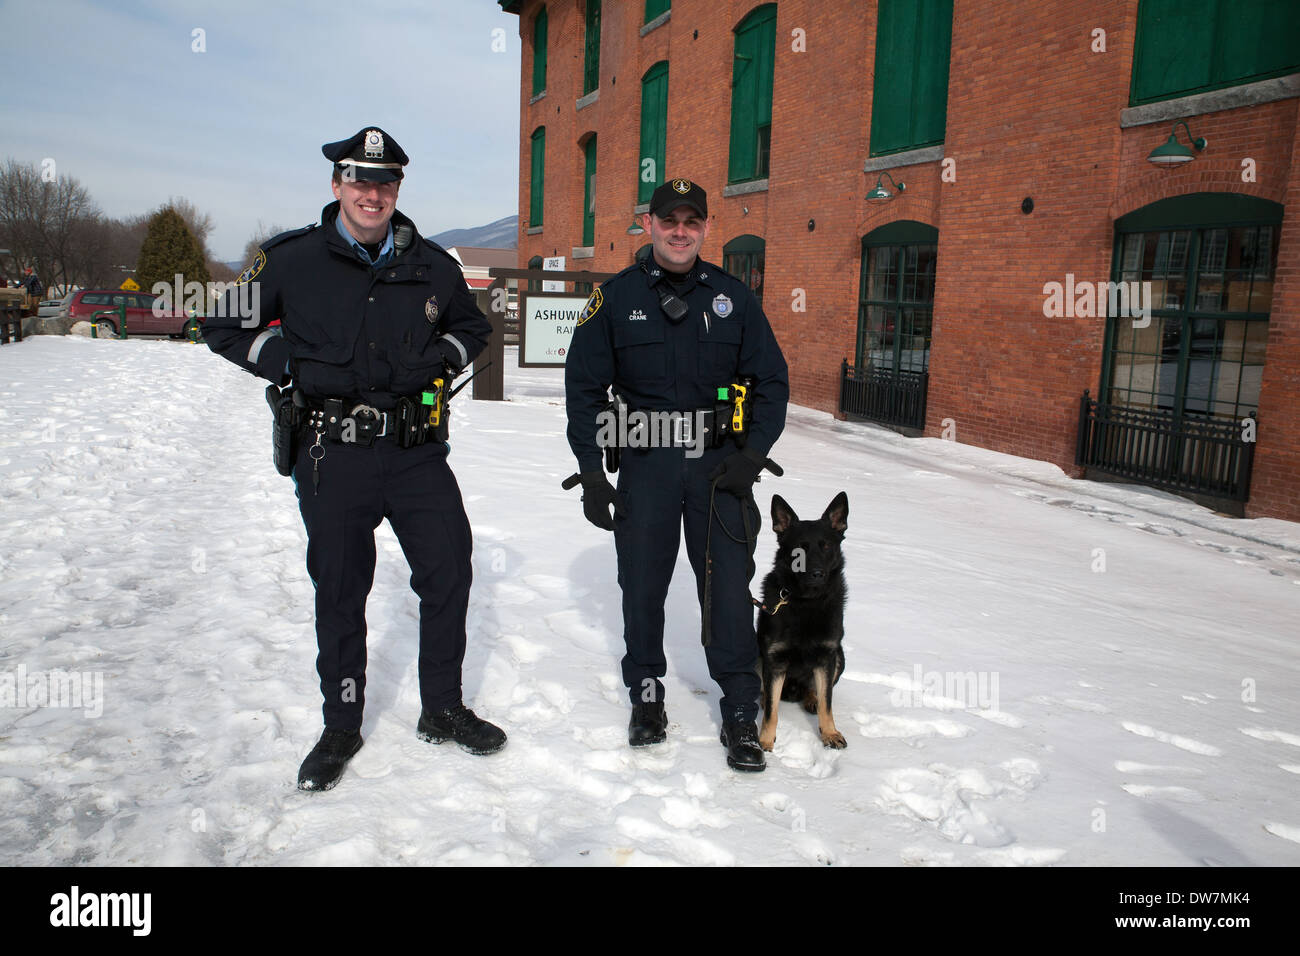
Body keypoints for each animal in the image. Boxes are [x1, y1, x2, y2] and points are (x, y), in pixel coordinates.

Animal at [754, 494, 852, 754]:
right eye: (800, 548)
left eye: (826, 546)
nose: (817, 573)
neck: (807, 602)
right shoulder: (775, 659)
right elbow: (772, 711)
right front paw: (765, 740)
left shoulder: (827, 656)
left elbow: (827, 704)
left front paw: (830, 733)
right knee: (767, 692)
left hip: (839, 657)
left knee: (816, 690)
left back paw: (811, 698)